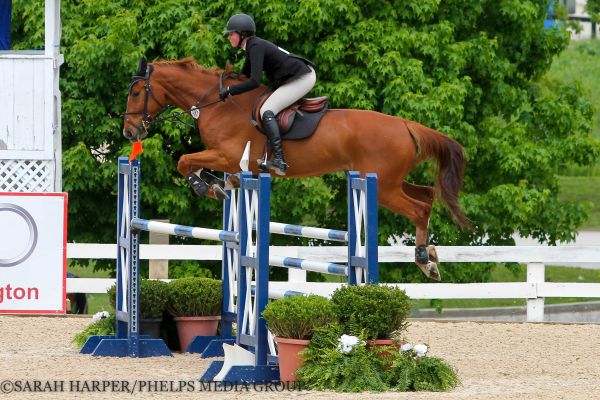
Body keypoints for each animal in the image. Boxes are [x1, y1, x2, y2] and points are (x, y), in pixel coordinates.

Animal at [122, 57, 468, 280]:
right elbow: (194, 164)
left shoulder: (227, 156)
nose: (130, 132)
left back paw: (423, 260)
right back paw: (431, 257)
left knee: (418, 209)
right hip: (390, 181)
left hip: (381, 185)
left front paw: (205, 186)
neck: (218, 105)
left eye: (137, 92)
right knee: (427, 195)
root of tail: (405, 124)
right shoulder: (230, 162)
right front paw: (215, 185)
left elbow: (184, 161)